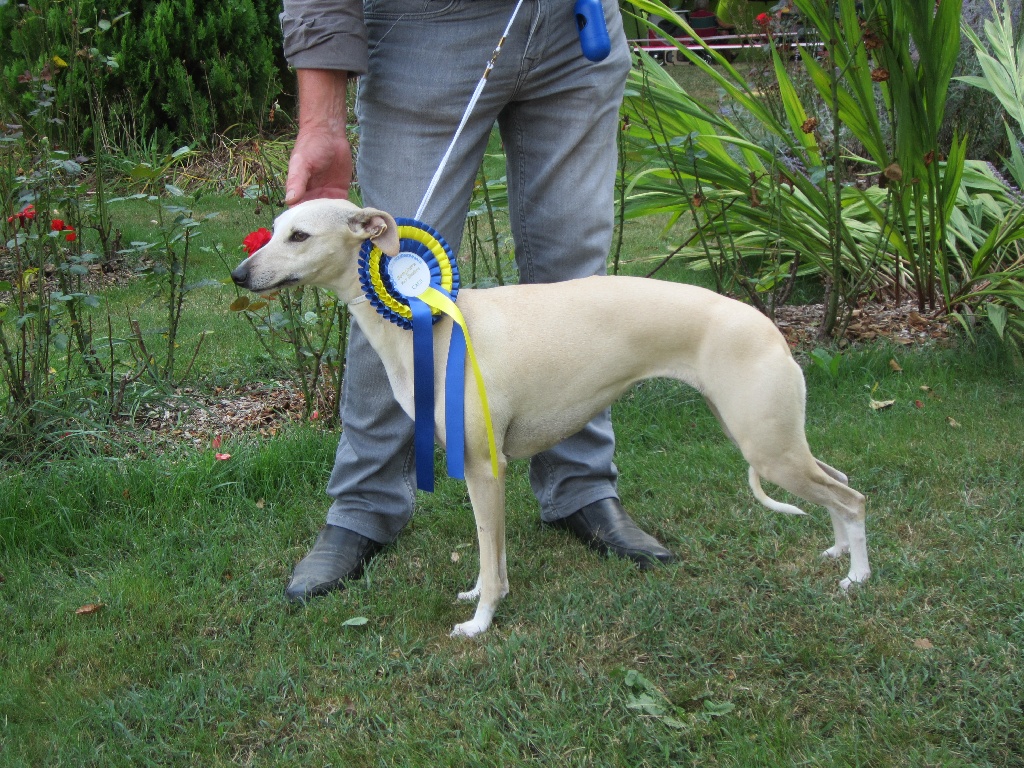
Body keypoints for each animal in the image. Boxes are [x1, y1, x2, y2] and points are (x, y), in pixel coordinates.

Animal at [232, 198, 872, 638]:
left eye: (299, 235)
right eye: (278, 228)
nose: (240, 275)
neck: (432, 324)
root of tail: (770, 328)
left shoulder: (483, 468)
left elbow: (491, 555)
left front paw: (481, 622)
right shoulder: (480, 470)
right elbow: (489, 551)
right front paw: (477, 595)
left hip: (768, 446)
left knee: (854, 498)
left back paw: (859, 577)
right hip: (779, 440)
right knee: (840, 482)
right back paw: (839, 554)